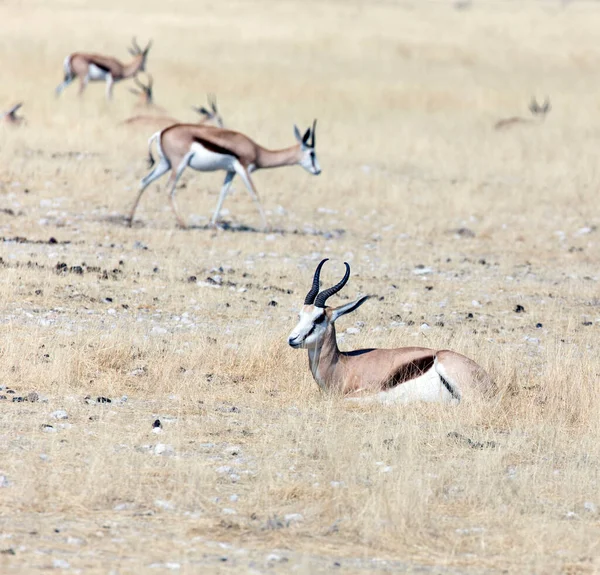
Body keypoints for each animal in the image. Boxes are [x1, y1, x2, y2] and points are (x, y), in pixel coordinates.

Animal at [129, 121, 322, 230]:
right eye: (312, 153)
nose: (318, 170)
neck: (257, 151)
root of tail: (161, 132)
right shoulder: (243, 168)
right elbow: (254, 194)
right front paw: (268, 226)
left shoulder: (231, 171)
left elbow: (222, 194)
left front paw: (212, 223)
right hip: (179, 165)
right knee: (169, 188)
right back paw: (183, 224)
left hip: (165, 164)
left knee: (144, 181)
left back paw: (129, 219)